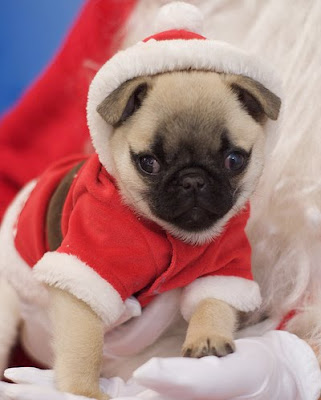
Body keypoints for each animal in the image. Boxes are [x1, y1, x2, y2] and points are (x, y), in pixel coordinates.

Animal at [43, 70, 278, 398]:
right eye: (148, 163)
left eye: (234, 160)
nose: (193, 180)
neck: (172, 236)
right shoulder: (87, 267)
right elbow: (84, 345)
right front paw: (83, 391)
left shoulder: (225, 266)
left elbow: (213, 304)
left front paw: (206, 339)